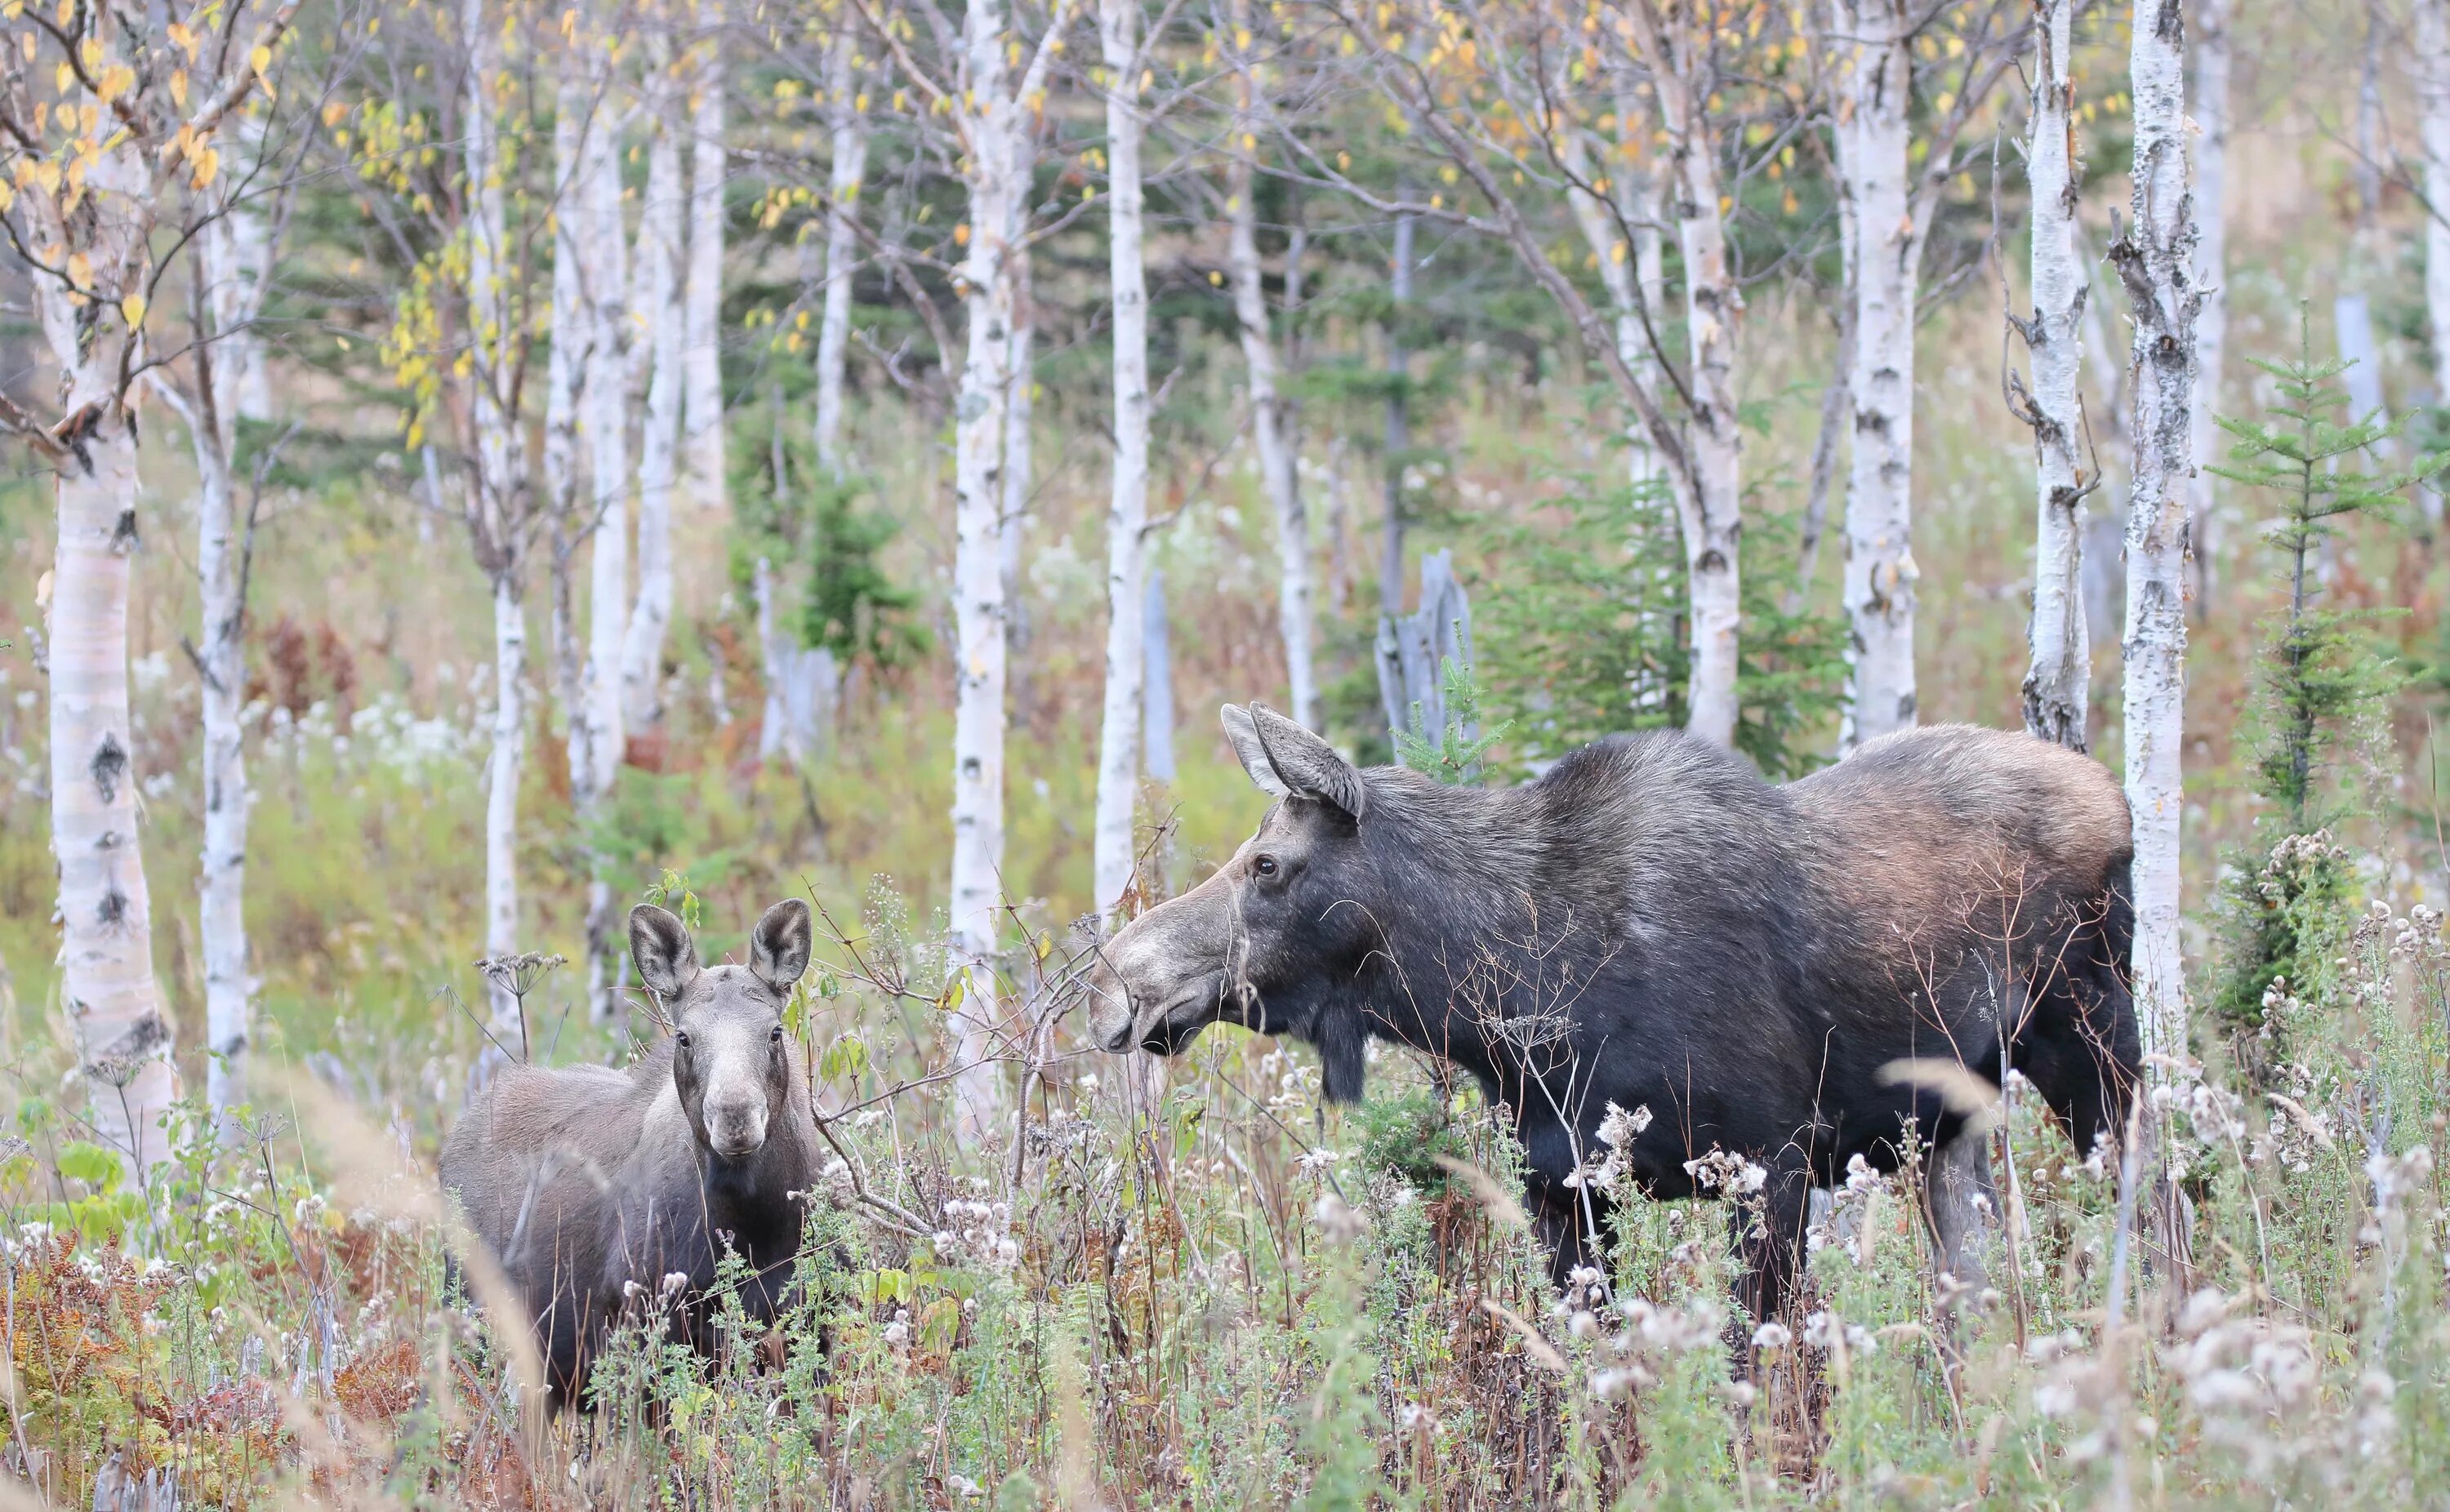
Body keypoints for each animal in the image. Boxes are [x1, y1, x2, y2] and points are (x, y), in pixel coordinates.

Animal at [1088, 700, 2127, 1313]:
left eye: (1267, 864)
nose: (1119, 979)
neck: (1505, 998)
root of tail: (2110, 788)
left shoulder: (1775, 1163)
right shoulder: (1562, 1189)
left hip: (2093, 1048)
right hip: (1955, 1123)